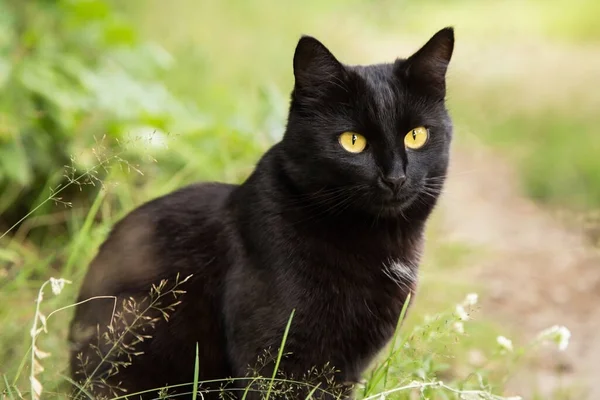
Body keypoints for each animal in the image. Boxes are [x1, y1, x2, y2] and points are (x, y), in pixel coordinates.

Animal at [68, 28, 454, 400]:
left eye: (416, 136)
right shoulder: (273, 356)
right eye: (353, 141)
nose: (395, 177)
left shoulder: (345, 368)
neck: (376, 240)